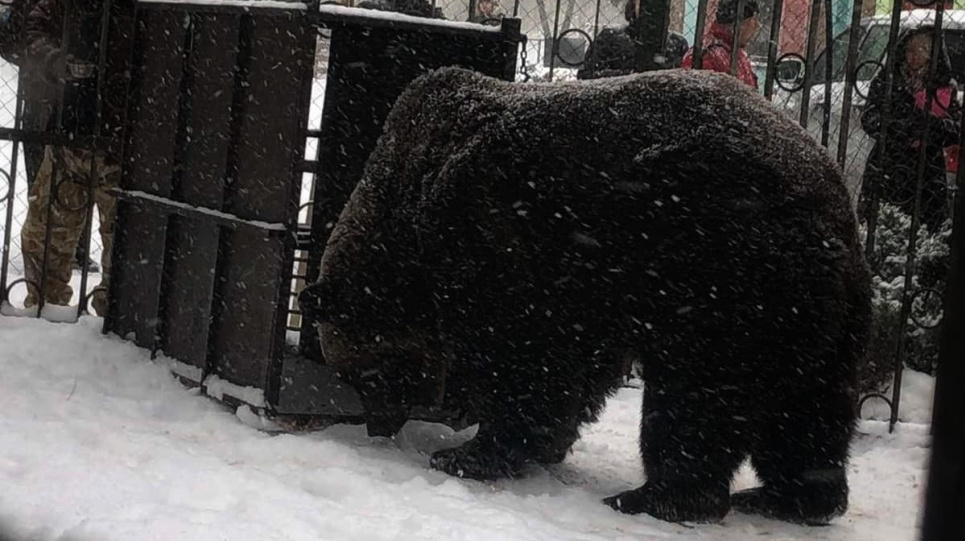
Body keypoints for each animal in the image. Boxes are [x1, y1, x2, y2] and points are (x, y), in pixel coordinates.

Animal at [304, 65, 872, 524]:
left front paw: (469, 453)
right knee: (810, 409)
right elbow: (579, 373)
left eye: (370, 373)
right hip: (821, 312)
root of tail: (833, 197)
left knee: (699, 394)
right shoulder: (586, 296)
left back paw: (657, 495)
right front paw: (538, 444)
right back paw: (792, 497)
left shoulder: (496, 242)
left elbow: (525, 361)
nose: (380, 424)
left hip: (726, 271)